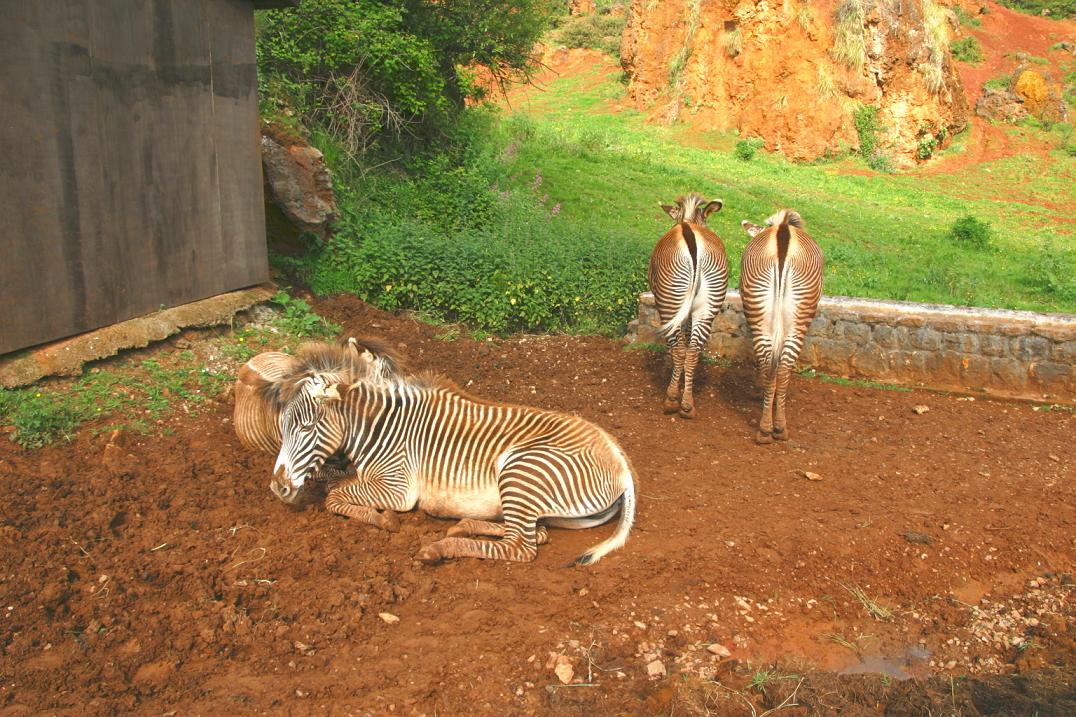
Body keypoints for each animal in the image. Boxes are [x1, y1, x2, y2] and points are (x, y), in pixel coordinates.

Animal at [239, 346, 632, 564]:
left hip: (521, 470)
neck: (379, 427)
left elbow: (335, 496)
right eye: (283, 426)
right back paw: (464, 524)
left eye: (306, 428)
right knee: (536, 533)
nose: (277, 488)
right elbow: (332, 479)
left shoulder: (397, 488)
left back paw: (439, 547)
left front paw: (383, 520)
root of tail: (620, 462)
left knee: (522, 547)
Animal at [645, 192, 731, 415]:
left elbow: (677, 346)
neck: (689, 220)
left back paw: (671, 399)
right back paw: (687, 404)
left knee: (679, 350)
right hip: (707, 308)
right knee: (692, 352)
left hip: (670, 303)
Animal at [740, 206, 822, 441]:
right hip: (799, 316)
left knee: (771, 363)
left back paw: (767, 427)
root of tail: (783, 234)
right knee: (783, 368)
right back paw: (778, 427)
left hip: (761, 311)